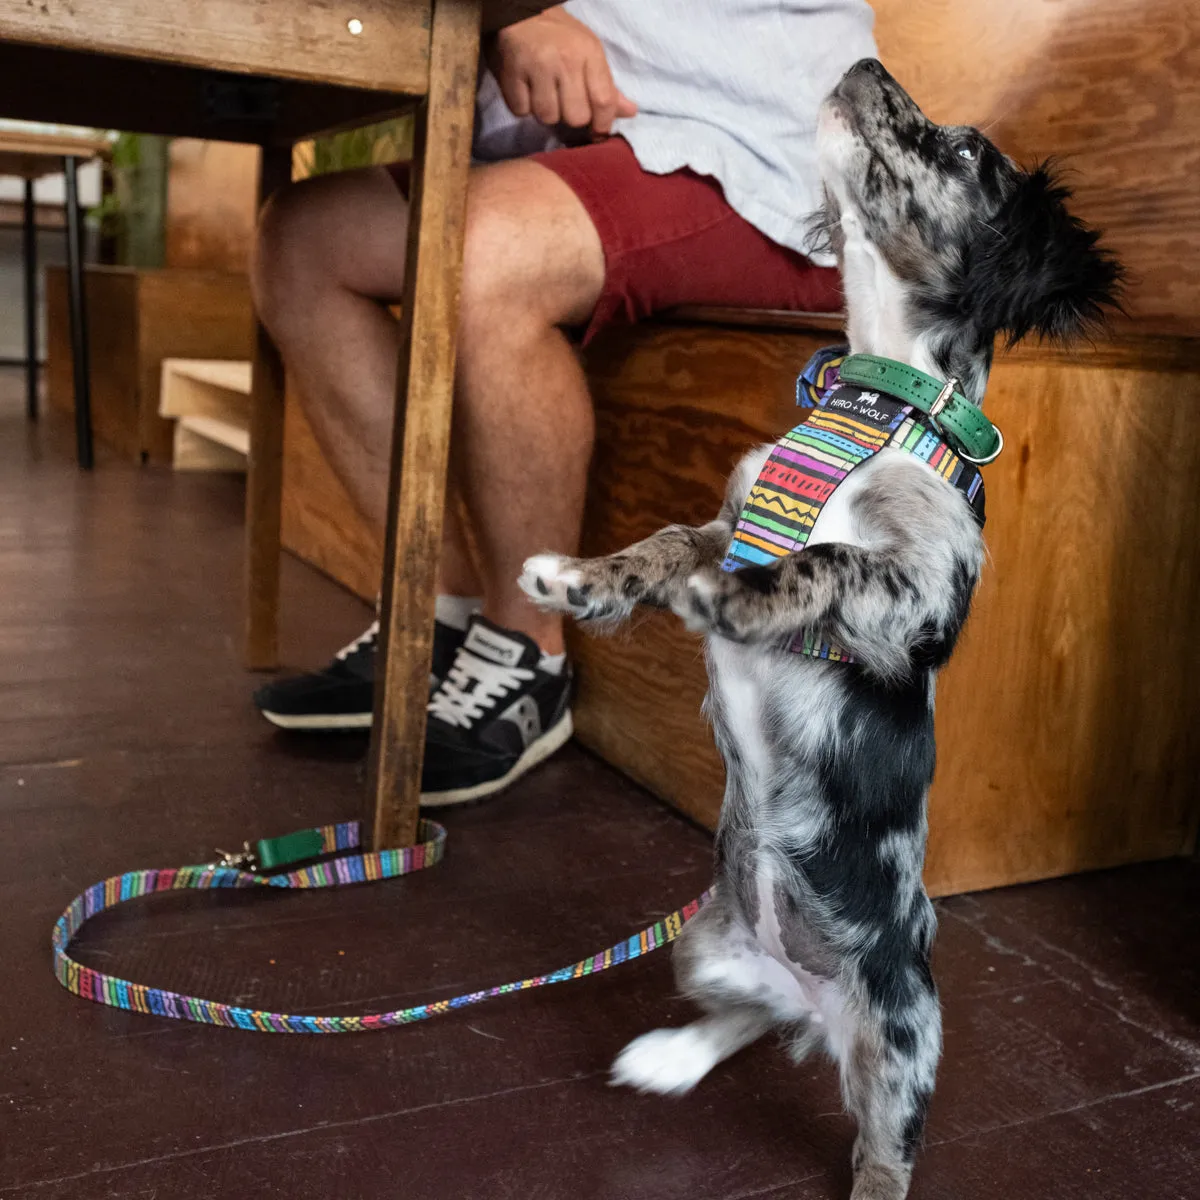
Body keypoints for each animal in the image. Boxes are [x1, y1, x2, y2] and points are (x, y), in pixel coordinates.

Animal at [520, 58, 1118, 1200]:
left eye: (963, 149)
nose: (865, 66)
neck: (879, 408)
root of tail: (818, 1001)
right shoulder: (727, 515)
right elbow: (668, 539)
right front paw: (582, 579)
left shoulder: (924, 601)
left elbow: (824, 563)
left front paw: (739, 603)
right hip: (709, 946)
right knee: (750, 1015)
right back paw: (673, 1056)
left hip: (906, 1026)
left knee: (884, 1144)